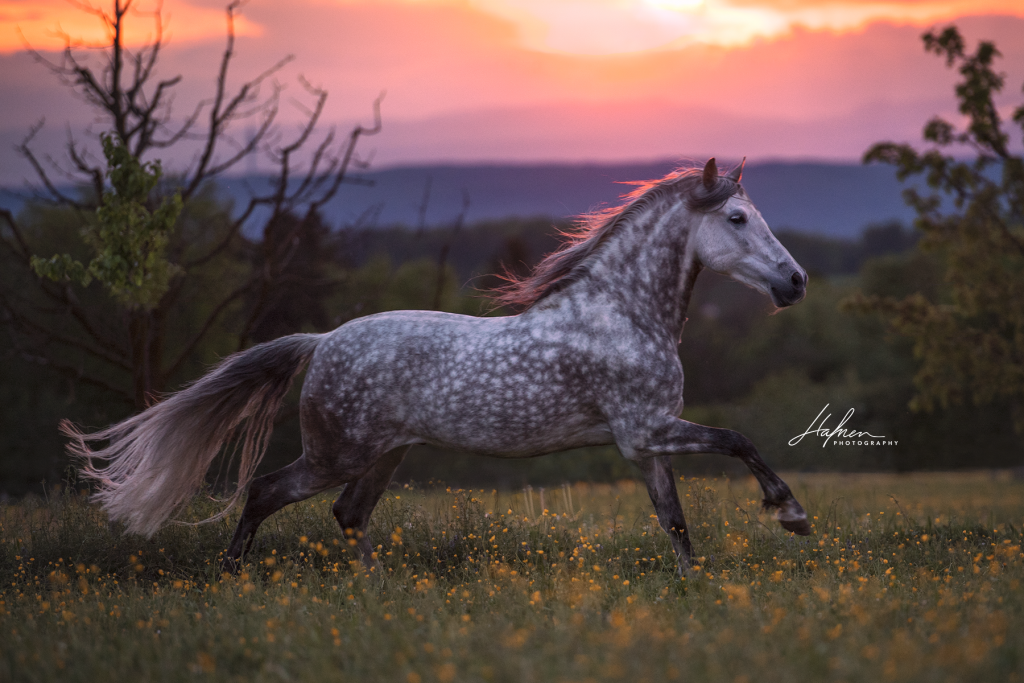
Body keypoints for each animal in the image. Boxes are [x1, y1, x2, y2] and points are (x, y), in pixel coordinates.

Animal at [66, 157, 815, 573]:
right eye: (739, 218)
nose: (797, 281)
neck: (622, 312)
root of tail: (323, 339)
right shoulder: (649, 430)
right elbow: (739, 440)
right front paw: (792, 515)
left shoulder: (643, 442)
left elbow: (675, 520)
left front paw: (695, 587)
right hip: (338, 451)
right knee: (267, 491)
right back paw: (233, 577)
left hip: (385, 454)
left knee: (347, 513)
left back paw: (377, 590)